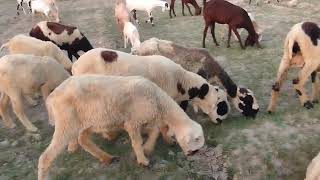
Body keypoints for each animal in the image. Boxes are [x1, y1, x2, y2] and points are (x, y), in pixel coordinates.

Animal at [38, 74, 205, 180]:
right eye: (196, 142)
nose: (191, 154)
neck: (158, 101)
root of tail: (52, 96)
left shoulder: (146, 117)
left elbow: (157, 130)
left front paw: (159, 144)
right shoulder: (133, 121)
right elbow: (139, 140)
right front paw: (143, 158)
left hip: (87, 120)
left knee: (83, 139)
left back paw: (106, 157)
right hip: (66, 122)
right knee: (46, 157)